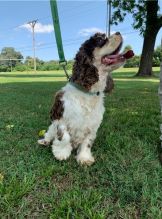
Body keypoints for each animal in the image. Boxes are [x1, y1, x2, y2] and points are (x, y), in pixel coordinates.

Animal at [38, 31, 134, 165]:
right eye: (100, 40)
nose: (118, 32)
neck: (88, 93)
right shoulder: (61, 117)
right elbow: (64, 137)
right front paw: (61, 153)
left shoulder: (93, 125)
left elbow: (87, 142)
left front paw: (84, 158)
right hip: (52, 126)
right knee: (49, 133)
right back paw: (44, 141)